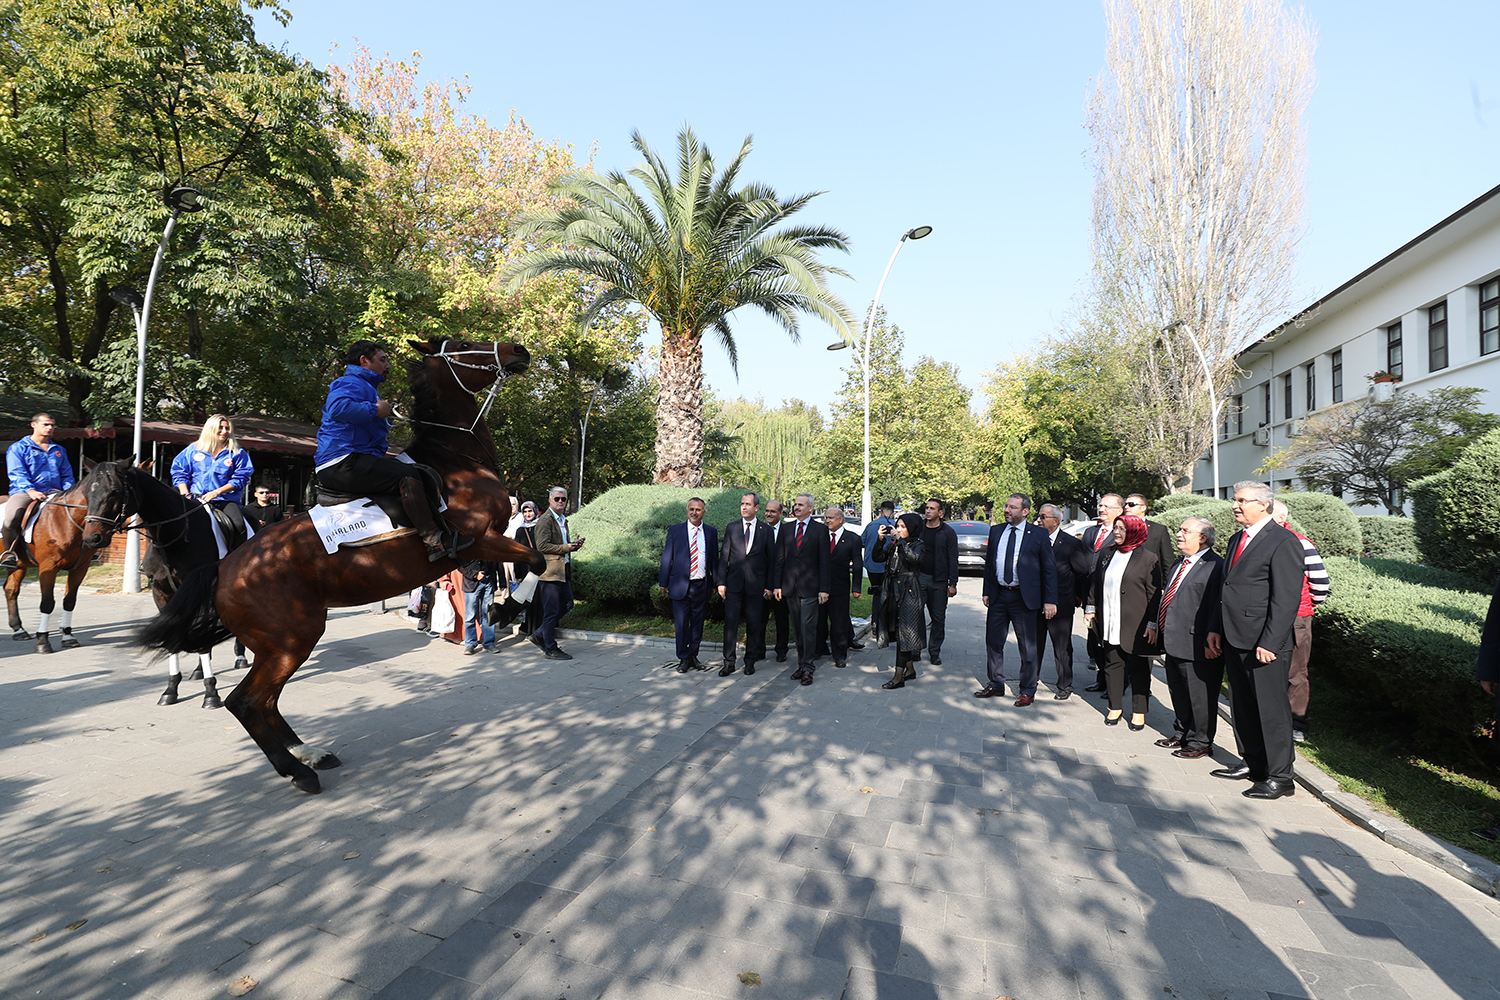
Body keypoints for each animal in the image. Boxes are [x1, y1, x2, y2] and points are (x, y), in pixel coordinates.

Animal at [2, 461, 114, 656]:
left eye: (114, 493)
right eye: (92, 495)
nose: (98, 538)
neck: (65, 521)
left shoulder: (80, 568)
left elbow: (69, 602)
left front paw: (68, 637)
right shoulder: (48, 568)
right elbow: (47, 603)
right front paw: (43, 642)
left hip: (19, 565)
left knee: (10, 590)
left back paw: (19, 631)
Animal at [83, 458, 250, 707]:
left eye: (114, 491)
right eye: (86, 492)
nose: (91, 538)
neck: (175, 537)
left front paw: (211, 693)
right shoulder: (162, 593)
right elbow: (174, 638)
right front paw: (171, 689)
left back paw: (240, 657)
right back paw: (200, 669)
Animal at [141, 340, 546, 791]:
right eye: (462, 345)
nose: (518, 350)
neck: (455, 462)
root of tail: (224, 569)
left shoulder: (490, 541)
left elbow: (535, 563)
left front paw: (506, 608)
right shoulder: (484, 538)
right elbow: (537, 560)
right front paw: (505, 609)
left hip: (279, 645)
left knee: (266, 702)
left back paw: (310, 754)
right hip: (291, 640)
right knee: (246, 702)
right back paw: (298, 770)